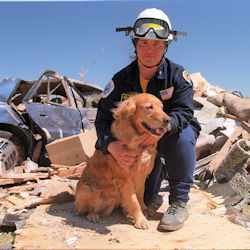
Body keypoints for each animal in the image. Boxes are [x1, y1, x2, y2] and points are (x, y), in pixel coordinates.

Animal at [74, 92, 171, 229]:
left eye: (162, 107)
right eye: (149, 107)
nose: (168, 120)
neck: (138, 141)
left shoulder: (141, 176)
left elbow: (140, 196)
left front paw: (144, 210)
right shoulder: (124, 180)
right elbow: (134, 201)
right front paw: (140, 220)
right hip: (89, 190)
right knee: (85, 211)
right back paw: (93, 216)